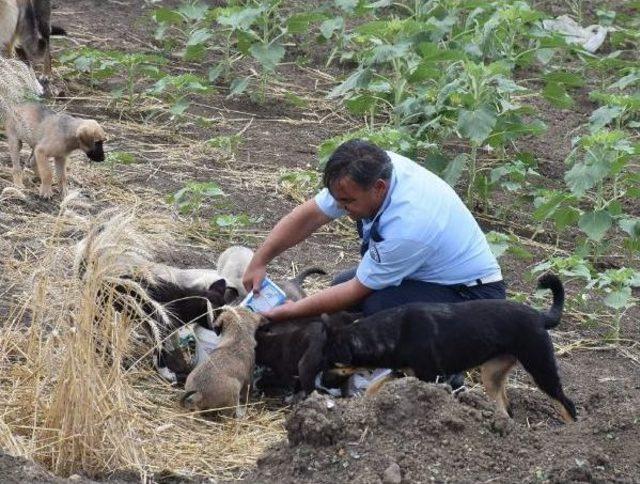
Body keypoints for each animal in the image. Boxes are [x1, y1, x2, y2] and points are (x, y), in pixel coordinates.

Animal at [322, 274, 576, 422]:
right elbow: (375, 386)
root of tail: (540, 316)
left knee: (567, 404)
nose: (322, 383)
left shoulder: (431, 377)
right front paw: (367, 406)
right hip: (492, 374)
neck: (395, 332)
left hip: (541, 367)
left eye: (333, 363)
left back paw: (569, 432)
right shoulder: (404, 371)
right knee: (505, 407)